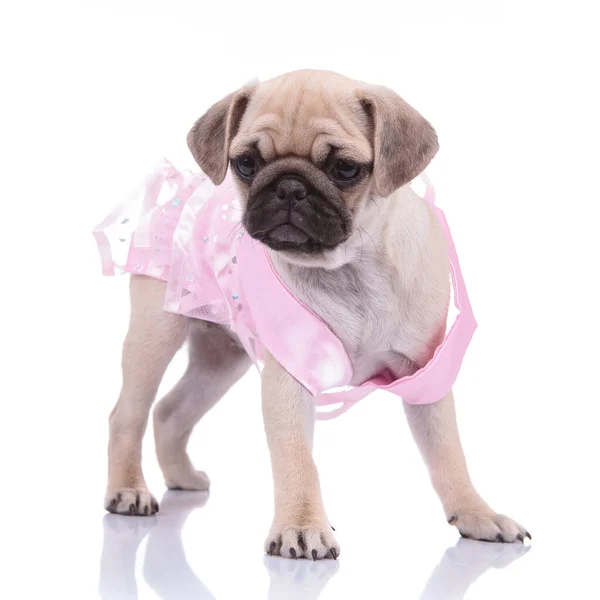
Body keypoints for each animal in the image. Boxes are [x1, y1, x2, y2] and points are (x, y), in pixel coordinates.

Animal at [104, 69, 528, 556]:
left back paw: (182, 478)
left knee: (170, 411)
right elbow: (296, 458)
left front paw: (477, 513)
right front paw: (302, 525)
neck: (350, 268)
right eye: (245, 163)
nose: (289, 186)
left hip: (220, 359)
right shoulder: (290, 377)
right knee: (128, 414)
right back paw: (128, 490)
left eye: (345, 169)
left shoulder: (427, 377)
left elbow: (448, 455)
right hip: (154, 336)